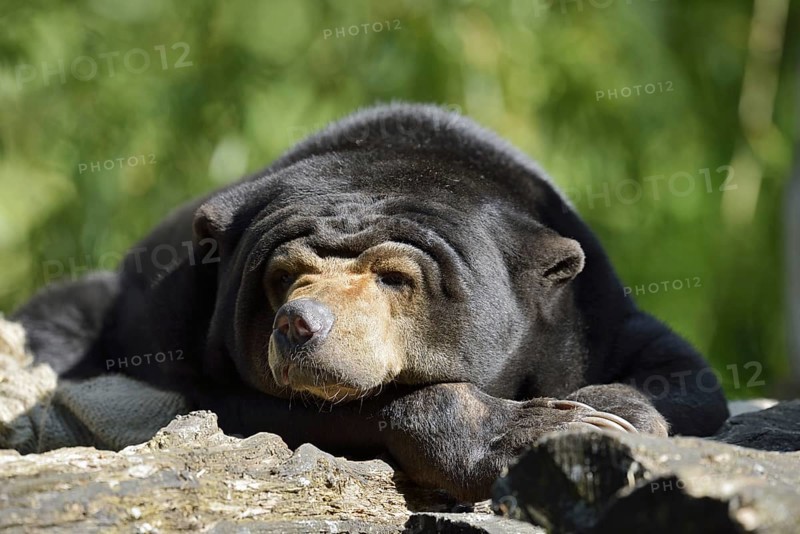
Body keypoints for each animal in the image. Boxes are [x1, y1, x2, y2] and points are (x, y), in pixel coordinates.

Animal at [13, 103, 729, 501]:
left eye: (395, 278)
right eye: (283, 276)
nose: (299, 325)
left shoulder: (594, 308)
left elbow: (684, 375)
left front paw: (611, 412)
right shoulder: (201, 351)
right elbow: (262, 409)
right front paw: (540, 427)